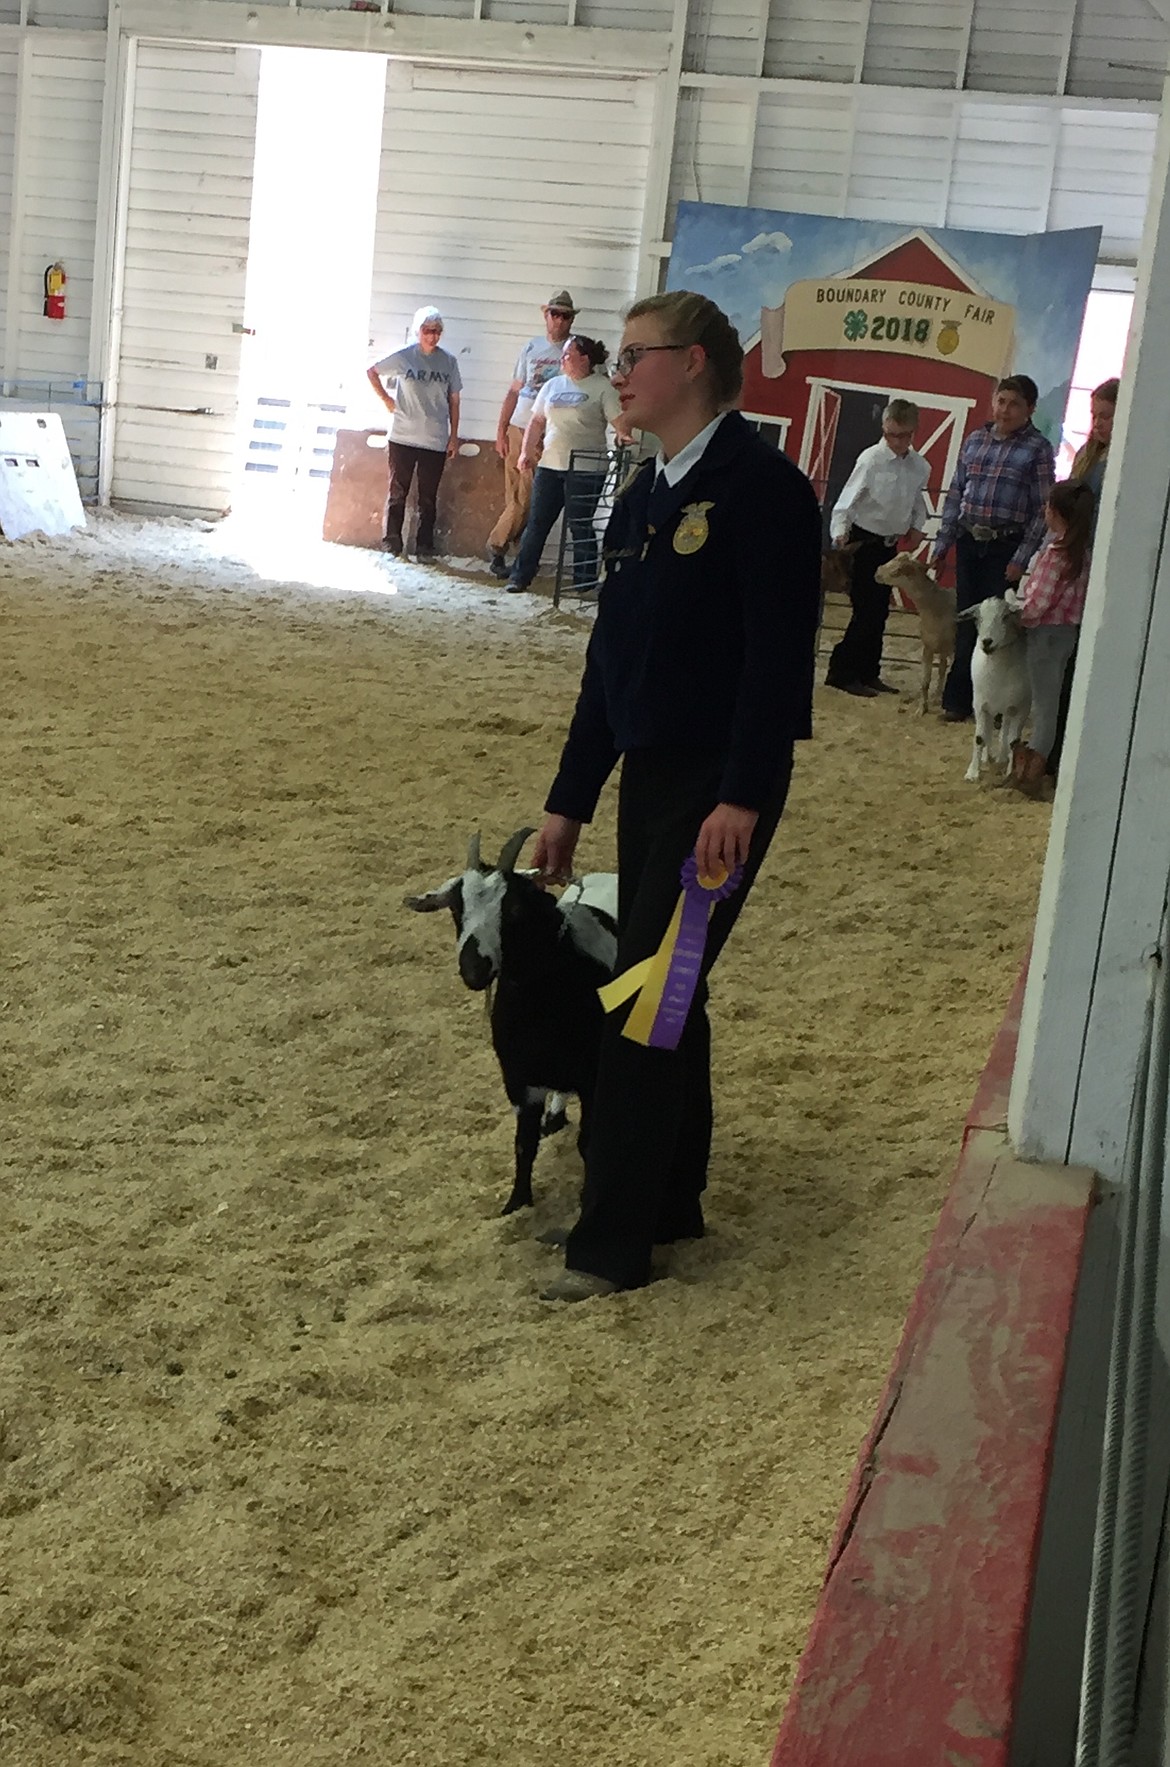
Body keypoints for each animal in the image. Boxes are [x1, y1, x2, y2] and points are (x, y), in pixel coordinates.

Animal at [406, 826, 622, 1215]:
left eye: (514, 907)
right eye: (456, 906)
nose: (474, 968)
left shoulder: (592, 1076)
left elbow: (588, 1143)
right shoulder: (520, 1080)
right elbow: (524, 1144)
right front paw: (516, 1204)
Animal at [876, 554, 961, 713]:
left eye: (899, 570)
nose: (877, 573)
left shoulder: (954, 649)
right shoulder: (928, 647)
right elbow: (925, 681)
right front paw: (922, 709)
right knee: (941, 669)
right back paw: (937, 697)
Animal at [961, 597, 1039, 784]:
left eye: (1005, 617)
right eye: (977, 618)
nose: (986, 642)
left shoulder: (1021, 707)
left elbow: (1014, 742)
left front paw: (1011, 772)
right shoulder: (980, 705)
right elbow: (979, 738)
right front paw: (973, 772)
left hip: (1010, 707)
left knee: (1005, 730)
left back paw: (1002, 756)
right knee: (990, 731)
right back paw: (986, 756)